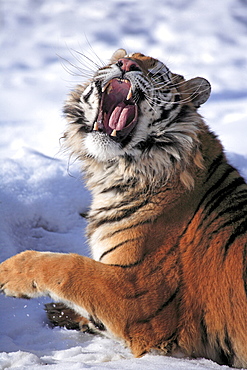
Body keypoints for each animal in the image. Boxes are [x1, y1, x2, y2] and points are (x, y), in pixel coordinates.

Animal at [0, 48, 247, 368]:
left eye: (157, 73)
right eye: (121, 58)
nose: (126, 64)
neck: (117, 171)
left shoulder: (138, 295)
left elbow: (67, 266)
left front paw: (7, 273)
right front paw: (63, 313)